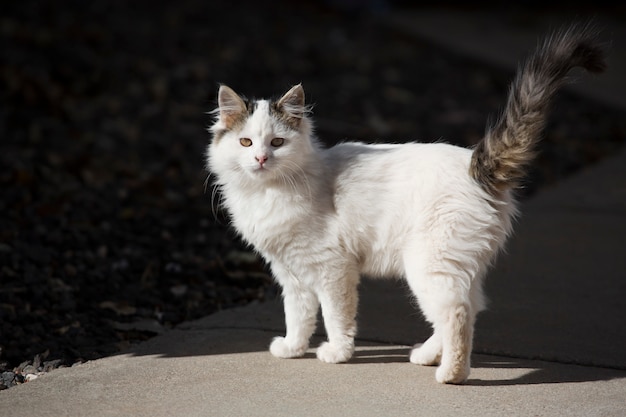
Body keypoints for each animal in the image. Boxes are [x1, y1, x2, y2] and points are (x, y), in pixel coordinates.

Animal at [206, 25, 604, 384]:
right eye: (245, 142)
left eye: (277, 142)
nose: (260, 159)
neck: (267, 193)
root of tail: (474, 166)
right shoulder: (291, 273)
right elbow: (298, 315)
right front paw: (292, 347)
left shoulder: (332, 269)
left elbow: (335, 317)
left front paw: (337, 353)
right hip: (458, 266)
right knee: (471, 307)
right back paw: (427, 355)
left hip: (428, 265)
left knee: (457, 314)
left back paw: (451, 374)